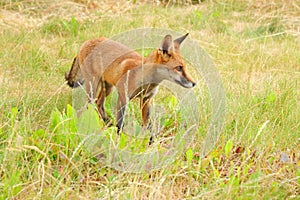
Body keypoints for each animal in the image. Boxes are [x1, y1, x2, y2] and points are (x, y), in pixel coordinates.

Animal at [65, 32, 197, 140]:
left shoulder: (146, 100)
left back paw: (107, 123)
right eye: (179, 68)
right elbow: (120, 123)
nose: (194, 83)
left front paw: (151, 143)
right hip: (93, 85)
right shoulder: (123, 97)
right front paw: (118, 141)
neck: (145, 82)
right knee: (90, 105)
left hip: (108, 87)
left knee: (99, 103)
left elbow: (149, 126)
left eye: (184, 67)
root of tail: (87, 41)